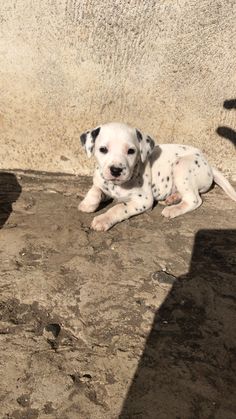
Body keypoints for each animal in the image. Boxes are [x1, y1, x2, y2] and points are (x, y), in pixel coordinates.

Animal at [79, 121, 236, 233]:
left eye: (131, 151)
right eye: (103, 149)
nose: (116, 170)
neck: (116, 185)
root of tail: (207, 163)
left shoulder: (143, 200)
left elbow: (118, 208)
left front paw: (103, 219)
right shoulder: (103, 184)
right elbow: (95, 189)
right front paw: (87, 204)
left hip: (181, 166)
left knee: (194, 200)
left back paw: (173, 209)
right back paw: (174, 198)